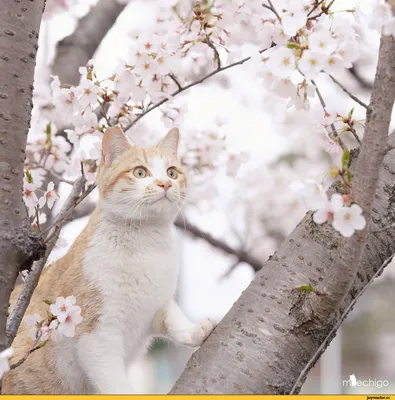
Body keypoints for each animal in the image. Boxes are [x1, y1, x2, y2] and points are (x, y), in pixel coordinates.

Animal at [1, 127, 215, 394]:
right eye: (140, 172)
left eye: (171, 172)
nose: (165, 183)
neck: (145, 245)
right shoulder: (98, 336)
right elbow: (116, 384)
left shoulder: (157, 303)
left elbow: (174, 320)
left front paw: (195, 331)